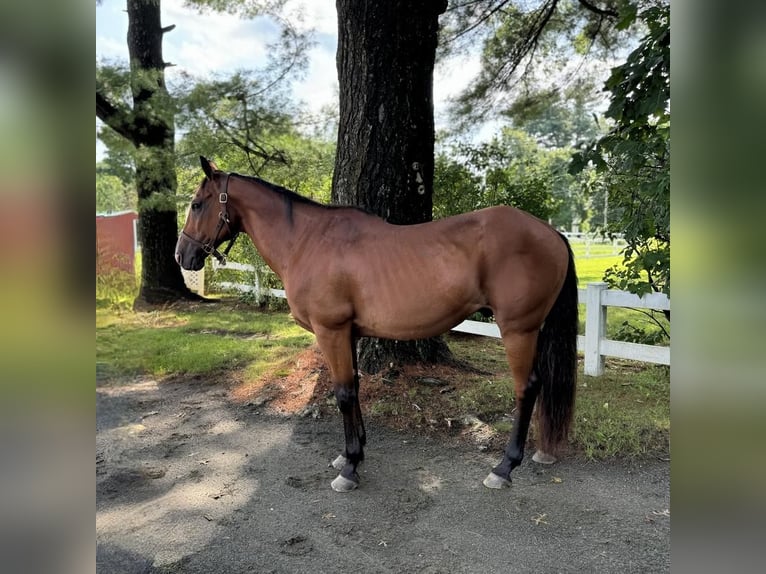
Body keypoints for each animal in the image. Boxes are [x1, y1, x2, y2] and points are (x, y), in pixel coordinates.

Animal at [177, 158, 580, 496]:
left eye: (197, 204)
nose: (183, 255)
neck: (308, 241)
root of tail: (552, 233)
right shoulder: (349, 333)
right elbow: (354, 388)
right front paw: (351, 454)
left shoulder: (332, 331)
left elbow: (342, 393)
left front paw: (350, 468)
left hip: (518, 330)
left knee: (527, 388)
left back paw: (504, 468)